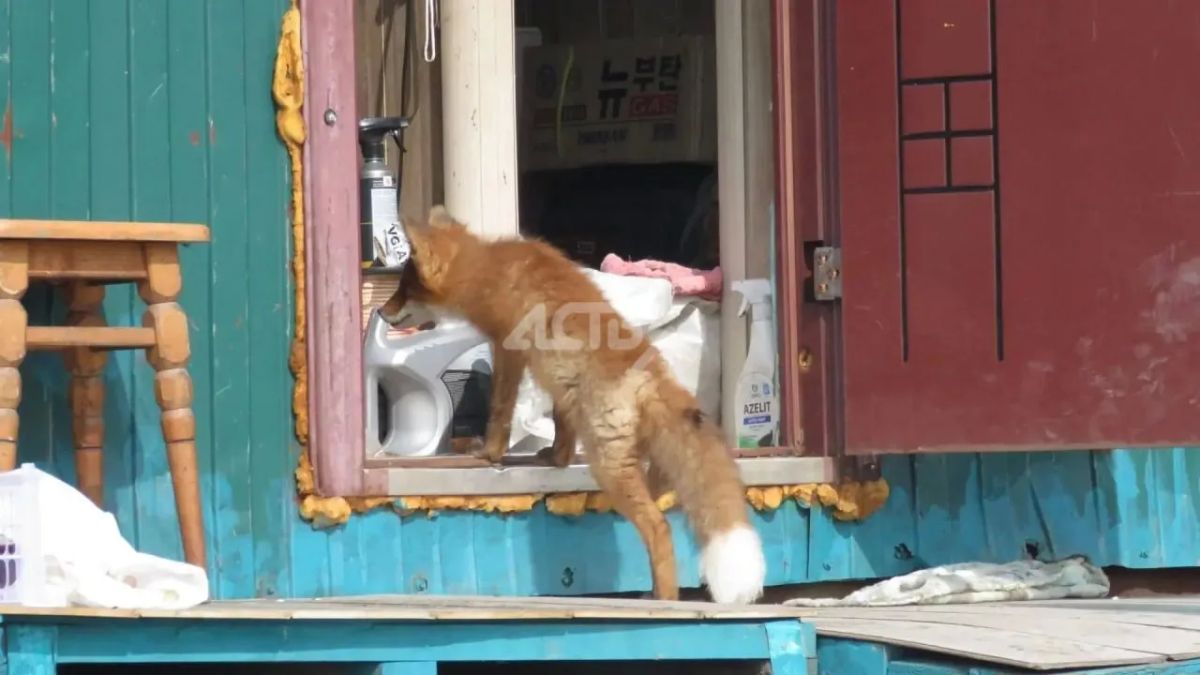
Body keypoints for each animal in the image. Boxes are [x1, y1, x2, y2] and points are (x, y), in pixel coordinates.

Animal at [379, 206, 766, 604]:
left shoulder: (508, 349)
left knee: (658, 529)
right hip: (646, 469)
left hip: (609, 468)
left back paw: (665, 601)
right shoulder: (559, 381)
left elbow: (500, 412)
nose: (379, 311)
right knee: (664, 513)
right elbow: (561, 428)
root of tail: (653, 377)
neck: (491, 267)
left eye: (404, 290)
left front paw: (488, 453)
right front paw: (554, 459)